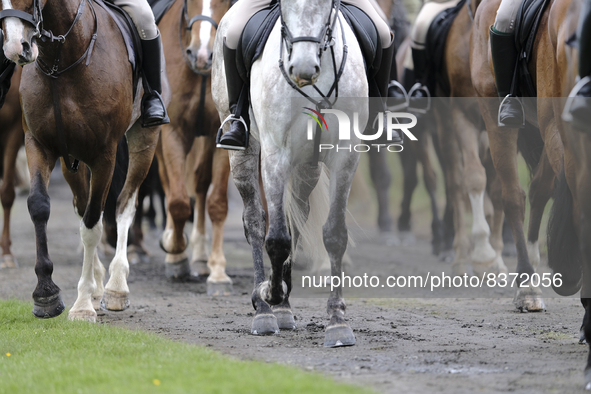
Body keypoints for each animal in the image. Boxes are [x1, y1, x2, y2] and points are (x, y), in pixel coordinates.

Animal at [0, 0, 169, 320]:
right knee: (81, 204)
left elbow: (93, 225)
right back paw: (98, 285)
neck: (61, 60)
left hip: (145, 140)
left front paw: (81, 305)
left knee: (124, 204)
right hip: (71, 162)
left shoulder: (105, 156)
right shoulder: (38, 144)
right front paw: (46, 294)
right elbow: (39, 206)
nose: (17, 47)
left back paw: (115, 287)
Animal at [155, 0, 234, 294]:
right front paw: (175, 253)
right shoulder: (172, 132)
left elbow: (217, 202)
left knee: (200, 184)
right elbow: (178, 202)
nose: (202, 55)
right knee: (169, 184)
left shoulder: (224, 132)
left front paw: (218, 270)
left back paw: (201, 257)